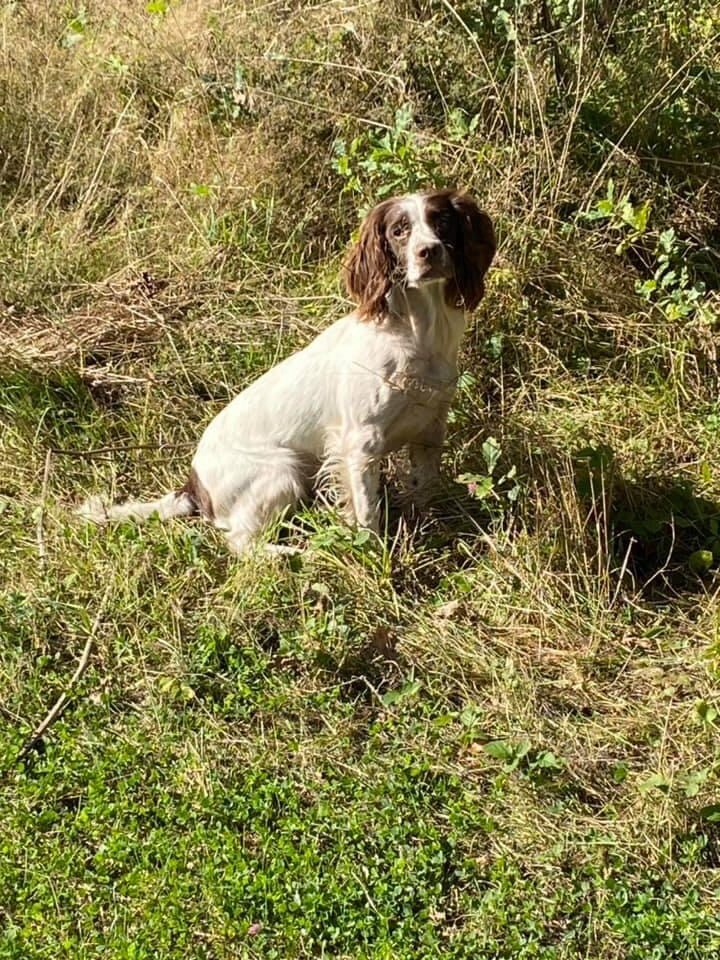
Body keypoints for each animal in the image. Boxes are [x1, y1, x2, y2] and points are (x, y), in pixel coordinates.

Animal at [79, 190, 496, 552]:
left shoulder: (430, 428)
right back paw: (292, 554)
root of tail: (194, 485)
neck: (417, 333)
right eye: (399, 230)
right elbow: (367, 515)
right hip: (283, 471)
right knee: (241, 544)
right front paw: (376, 559)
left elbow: (425, 487)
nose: (429, 252)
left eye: (442, 222)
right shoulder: (361, 441)